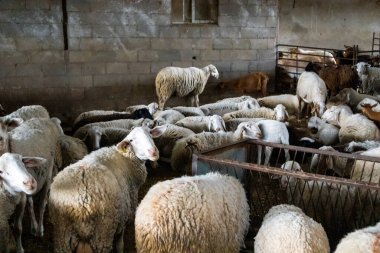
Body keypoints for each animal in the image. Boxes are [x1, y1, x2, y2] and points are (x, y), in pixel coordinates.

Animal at [48, 125, 167, 253]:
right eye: (131, 140)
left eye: (150, 133)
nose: (153, 151)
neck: (126, 158)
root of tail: (81, 202)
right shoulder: (123, 215)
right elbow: (120, 243)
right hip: (103, 230)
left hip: (63, 233)